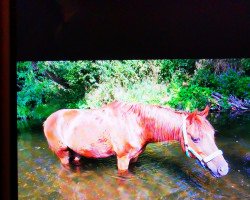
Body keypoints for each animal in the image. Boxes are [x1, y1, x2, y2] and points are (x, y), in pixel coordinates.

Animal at [43, 101, 229, 177]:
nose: (223, 169)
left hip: (77, 152)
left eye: (213, 135)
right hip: (62, 154)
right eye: (195, 139)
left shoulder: (134, 157)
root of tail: (48, 120)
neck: (137, 123)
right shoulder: (122, 158)